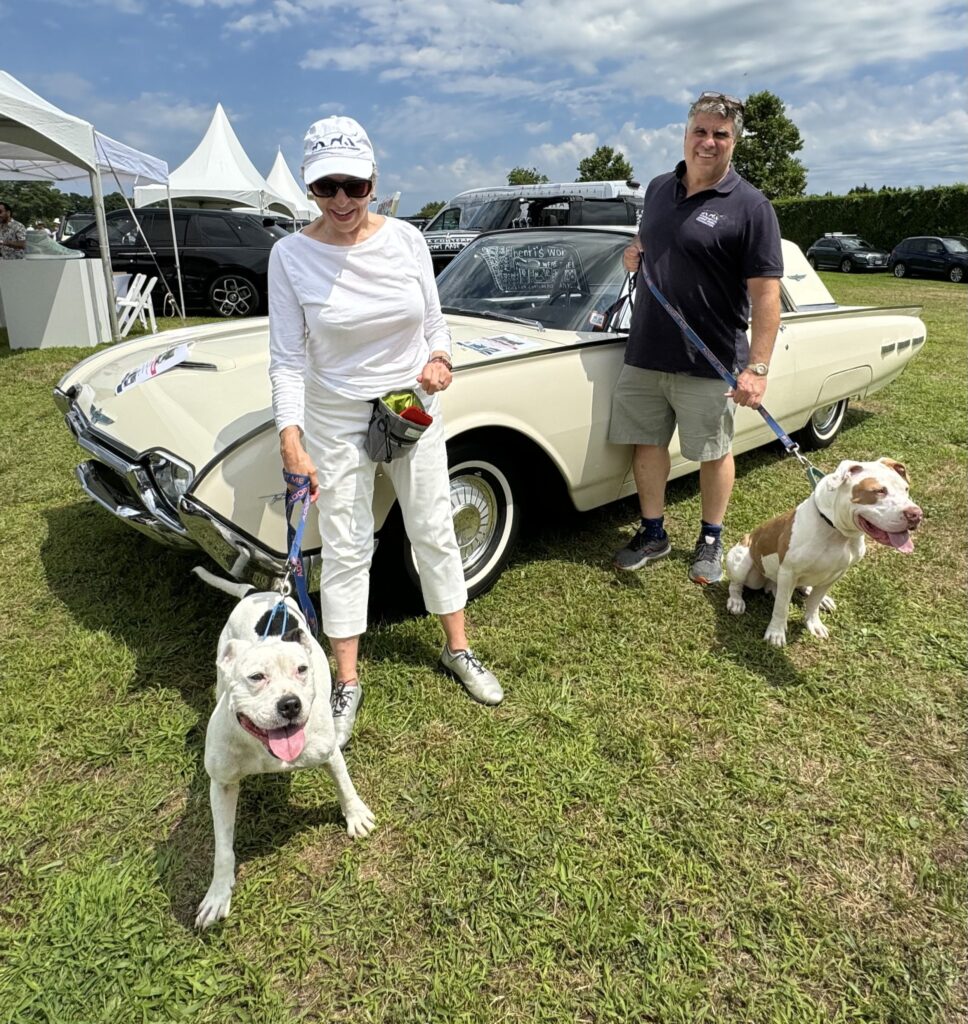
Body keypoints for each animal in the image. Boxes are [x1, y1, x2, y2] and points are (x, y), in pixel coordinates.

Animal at [192, 569, 374, 929]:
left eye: (301, 670)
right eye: (256, 677)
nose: (290, 703)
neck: (263, 746)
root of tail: (259, 593)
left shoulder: (329, 752)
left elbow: (344, 784)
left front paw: (356, 815)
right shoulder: (222, 784)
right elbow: (223, 848)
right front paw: (218, 893)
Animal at [725, 458, 921, 647]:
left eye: (906, 489)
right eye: (879, 491)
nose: (916, 514)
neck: (837, 532)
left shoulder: (836, 573)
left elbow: (814, 602)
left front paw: (814, 622)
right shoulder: (788, 572)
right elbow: (782, 607)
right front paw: (776, 633)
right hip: (743, 561)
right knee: (736, 584)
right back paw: (736, 601)